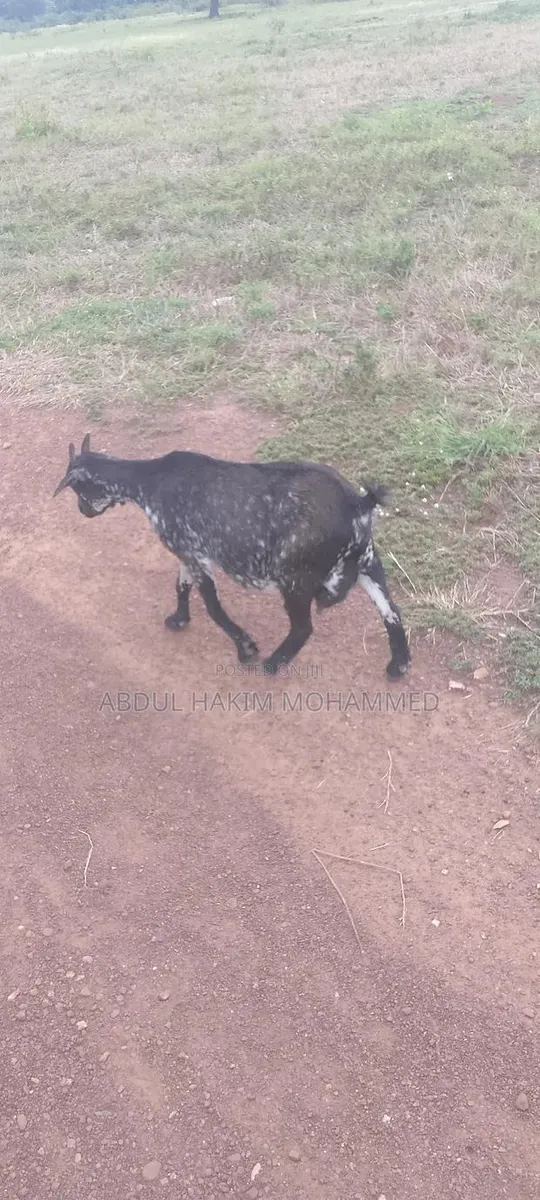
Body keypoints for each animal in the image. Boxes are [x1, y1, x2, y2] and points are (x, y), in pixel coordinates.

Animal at [53, 434, 411, 679]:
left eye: (77, 490)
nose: (83, 512)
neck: (149, 482)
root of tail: (357, 504)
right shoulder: (188, 553)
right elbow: (180, 586)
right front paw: (179, 619)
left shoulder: (196, 556)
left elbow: (213, 607)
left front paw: (246, 647)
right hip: (369, 563)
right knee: (390, 612)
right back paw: (399, 664)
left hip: (295, 578)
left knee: (303, 627)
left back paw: (273, 663)